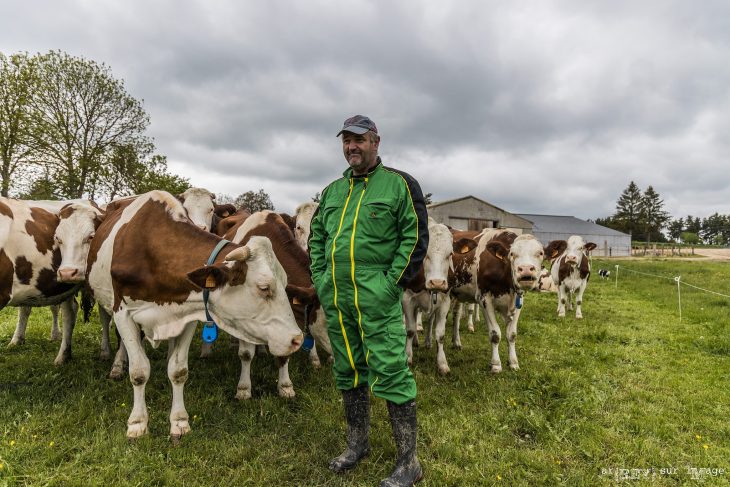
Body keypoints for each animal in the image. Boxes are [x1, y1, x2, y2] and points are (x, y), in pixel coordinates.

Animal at [85, 193, 302, 440]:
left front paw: (179, 422)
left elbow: (178, 370)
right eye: (264, 287)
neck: (154, 251)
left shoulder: (186, 314)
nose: (297, 339)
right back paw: (115, 365)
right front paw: (138, 423)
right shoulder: (123, 313)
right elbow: (139, 371)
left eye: (285, 283)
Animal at [446, 231, 544, 372]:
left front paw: (513, 362)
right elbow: (495, 334)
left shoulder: (519, 301)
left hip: (459, 292)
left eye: (540, 253)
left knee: (456, 314)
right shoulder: (484, 299)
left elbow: (512, 334)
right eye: (512, 254)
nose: (525, 269)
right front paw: (496, 364)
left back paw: (456, 342)